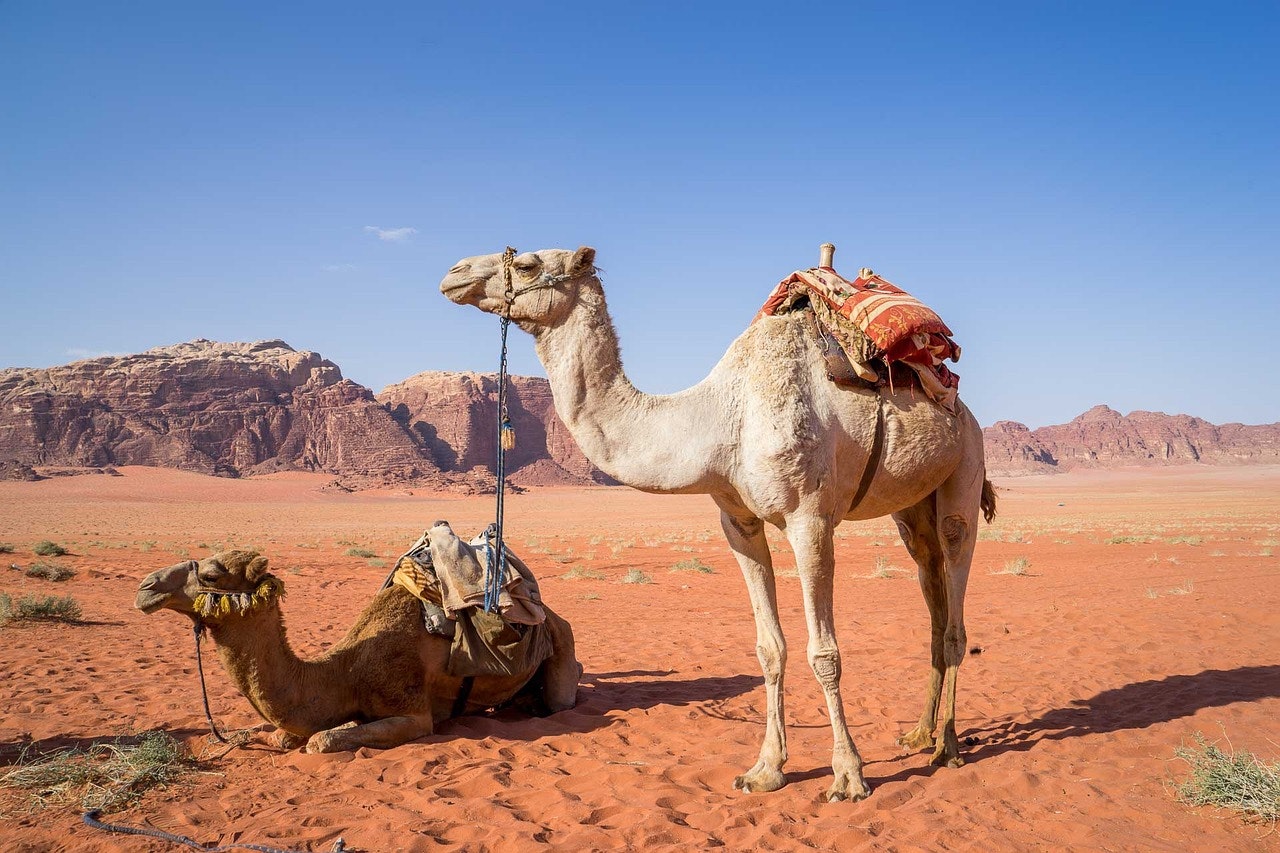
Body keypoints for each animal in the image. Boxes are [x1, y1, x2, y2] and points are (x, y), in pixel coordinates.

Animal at [135, 535, 580, 753]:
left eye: (211, 575)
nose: (146, 587)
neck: (344, 672)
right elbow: (281, 733)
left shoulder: (415, 714)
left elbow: (320, 740)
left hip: (561, 640)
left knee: (562, 695)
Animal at [440, 246, 996, 802]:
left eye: (528, 264)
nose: (454, 274)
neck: (720, 421)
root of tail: (960, 406)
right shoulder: (738, 522)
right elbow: (769, 648)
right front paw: (766, 769)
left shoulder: (810, 519)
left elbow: (825, 653)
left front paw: (848, 775)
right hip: (911, 507)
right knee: (930, 589)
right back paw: (919, 733)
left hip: (964, 468)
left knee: (954, 601)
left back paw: (947, 746)